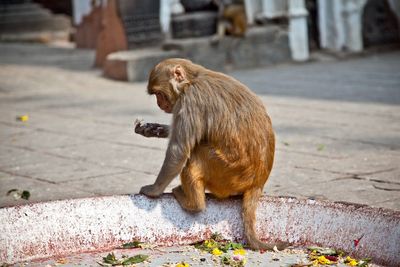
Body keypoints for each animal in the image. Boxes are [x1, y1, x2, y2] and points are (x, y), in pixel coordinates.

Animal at [138, 58, 288, 251]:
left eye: (159, 94)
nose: (159, 103)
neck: (192, 80)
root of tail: (258, 182)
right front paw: (154, 129)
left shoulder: (190, 101)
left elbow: (179, 151)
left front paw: (154, 191)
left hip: (227, 174)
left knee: (196, 152)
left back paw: (194, 204)